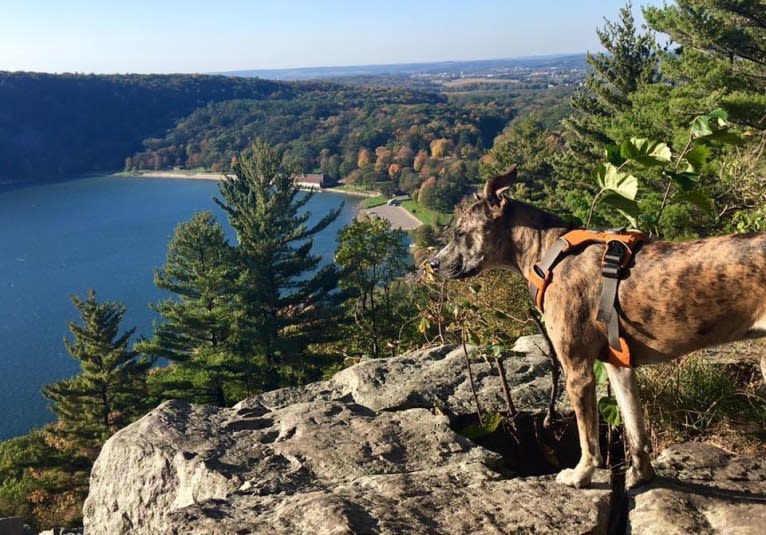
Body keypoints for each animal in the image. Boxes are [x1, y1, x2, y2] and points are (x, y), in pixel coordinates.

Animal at [426, 168, 766, 490]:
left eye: (460, 232)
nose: (432, 264)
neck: (548, 253)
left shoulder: (578, 370)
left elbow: (587, 436)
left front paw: (581, 475)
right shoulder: (619, 366)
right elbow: (634, 427)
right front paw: (640, 475)